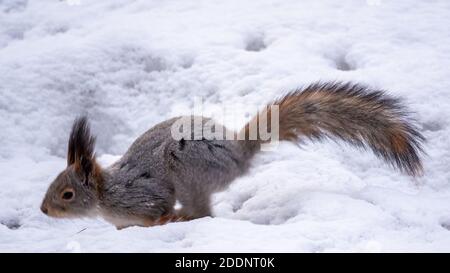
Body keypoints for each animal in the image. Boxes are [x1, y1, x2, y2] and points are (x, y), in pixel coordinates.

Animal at [40, 82, 424, 228]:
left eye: (67, 194)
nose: (43, 209)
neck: (106, 195)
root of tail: (237, 152)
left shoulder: (144, 195)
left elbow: (157, 207)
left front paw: (162, 220)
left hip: (189, 168)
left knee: (203, 211)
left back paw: (182, 217)